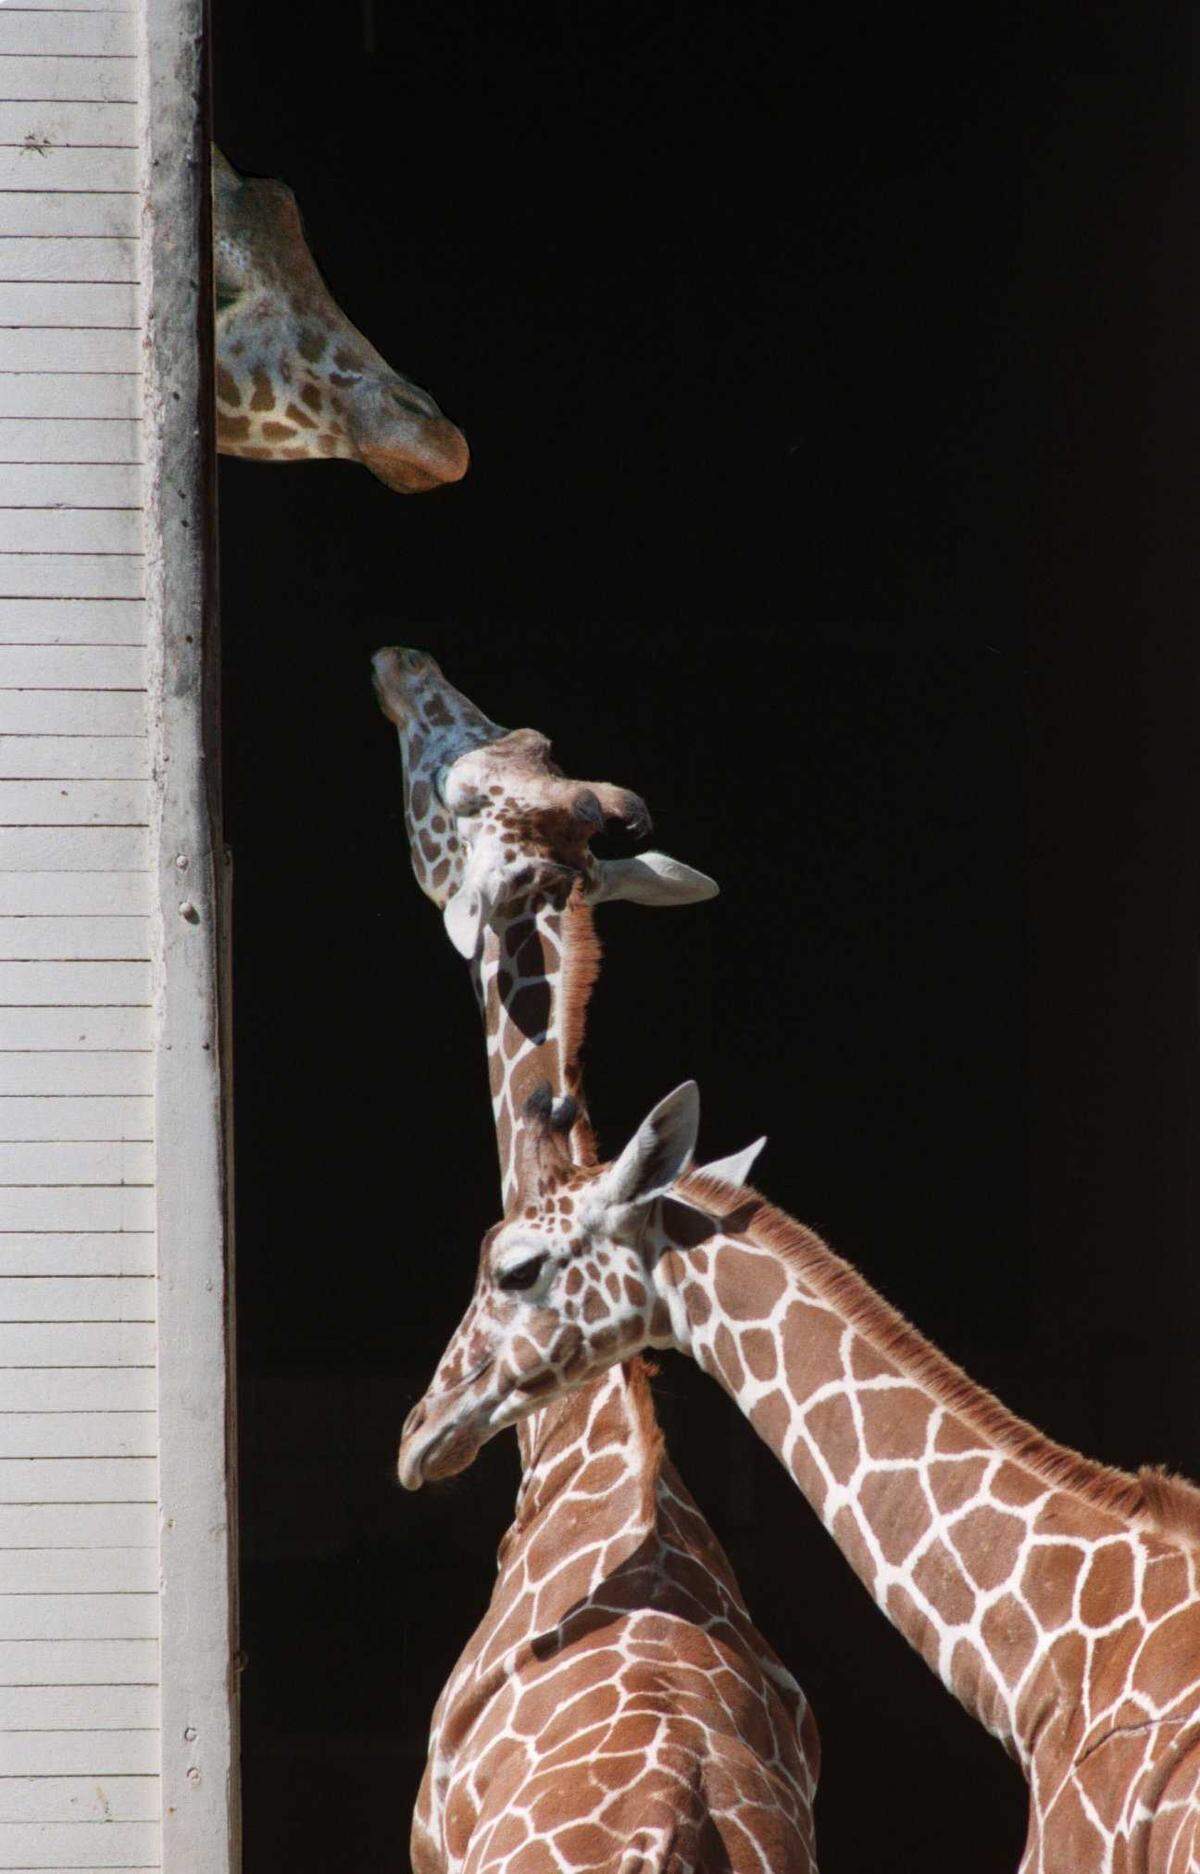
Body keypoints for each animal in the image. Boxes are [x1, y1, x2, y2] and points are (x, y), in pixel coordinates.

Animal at [373, 650, 820, 1872]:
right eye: (522, 746)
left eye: (460, 791)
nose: (401, 668)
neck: (585, 1441)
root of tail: (672, 1827)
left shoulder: (424, 1833)